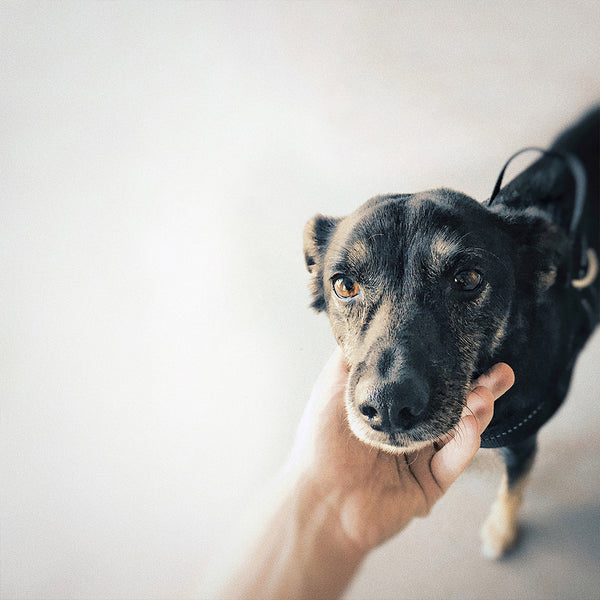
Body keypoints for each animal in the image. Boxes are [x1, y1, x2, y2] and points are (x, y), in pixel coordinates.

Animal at [304, 108, 600, 556]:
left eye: (468, 279)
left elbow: (513, 489)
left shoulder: (523, 442)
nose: (388, 407)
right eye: (345, 286)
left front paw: (500, 531)